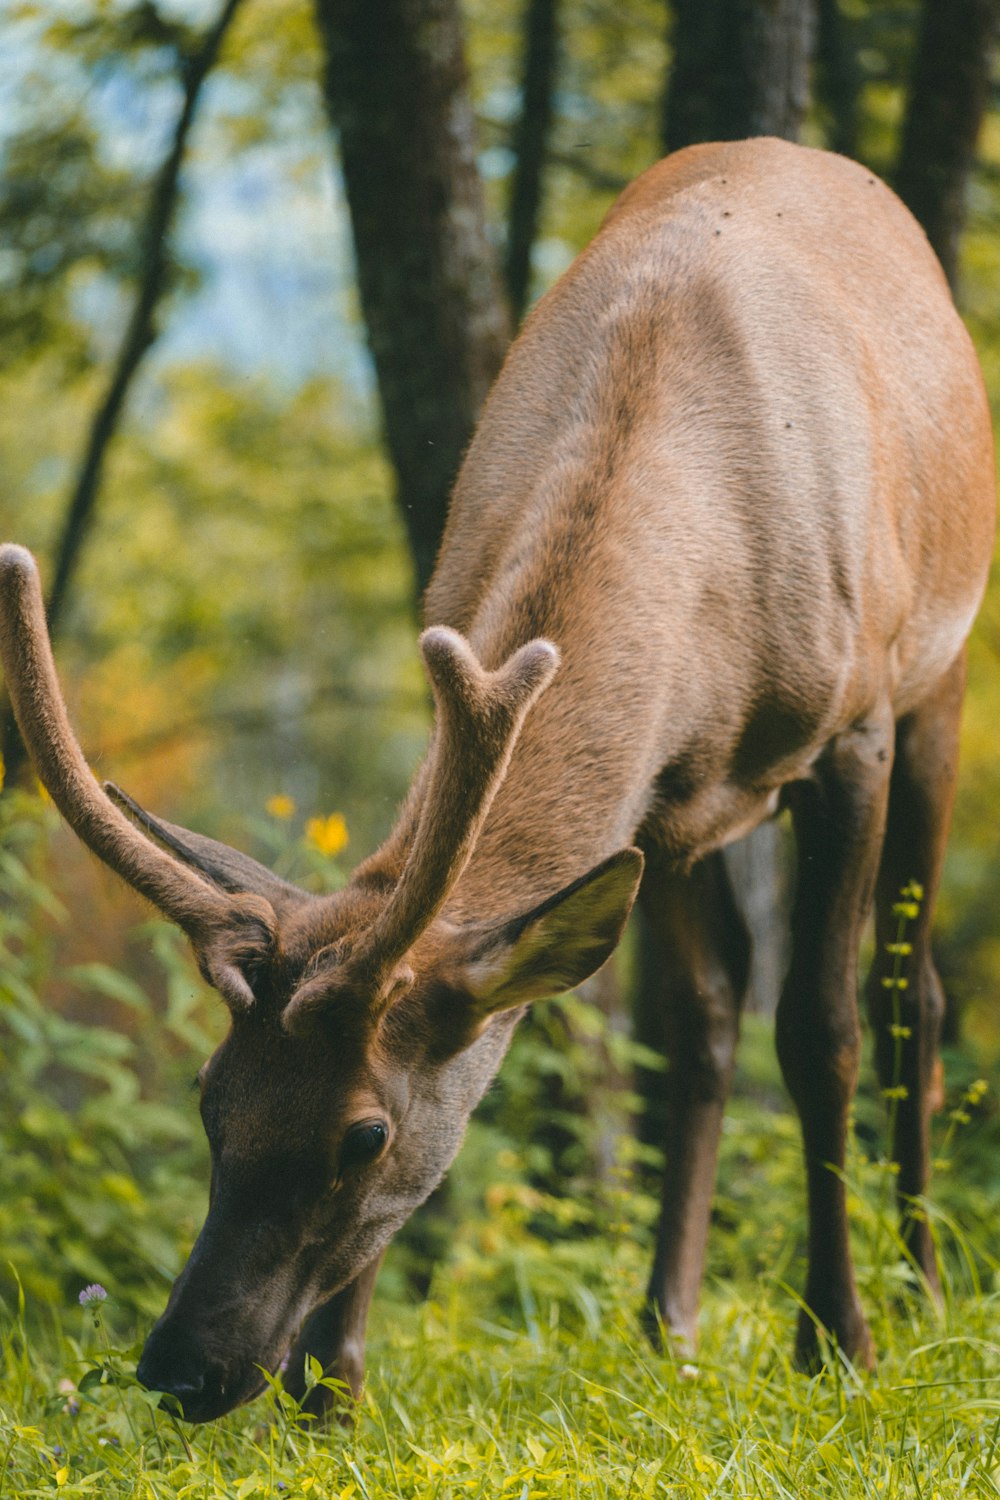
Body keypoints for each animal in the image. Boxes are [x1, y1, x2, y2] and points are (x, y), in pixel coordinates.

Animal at [1, 138, 995, 1416]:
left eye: (363, 1135)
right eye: (211, 1097)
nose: (179, 1368)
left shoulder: (854, 725)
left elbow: (823, 1029)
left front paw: (836, 1341)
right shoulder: (651, 788)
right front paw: (336, 1389)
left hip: (940, 668)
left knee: (907, 993)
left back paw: (918, 1284)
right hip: (683, 822)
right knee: (704, 1012)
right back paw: (665, 1322)